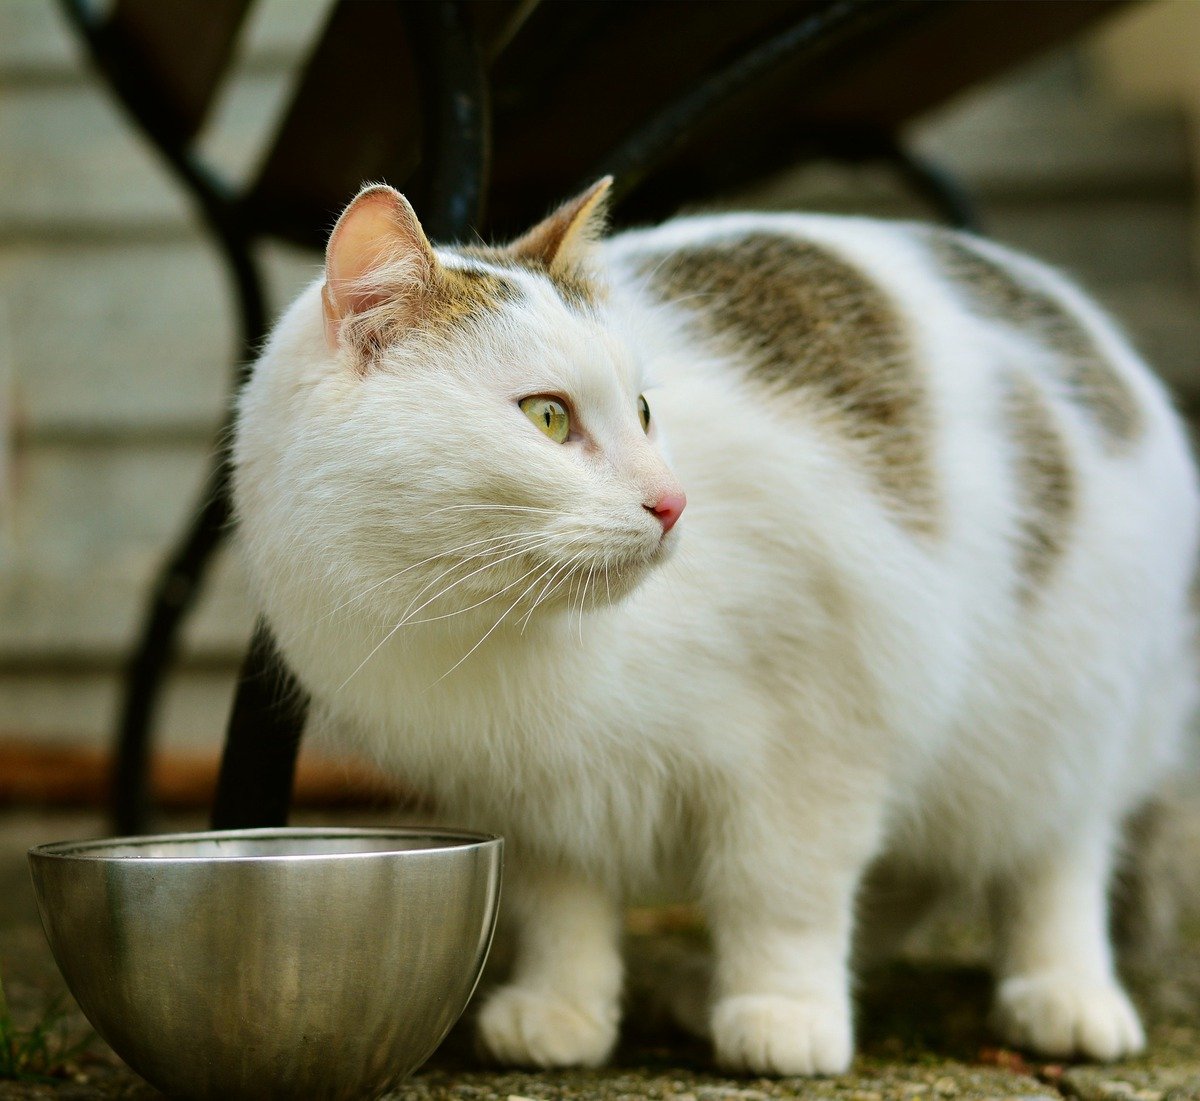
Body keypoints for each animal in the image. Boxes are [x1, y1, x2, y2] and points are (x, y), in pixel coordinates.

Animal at [229, 176, 1195, 1074]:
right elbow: (563, 908)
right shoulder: (534, 794)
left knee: (1056, 854)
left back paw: (1065, 995)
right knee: (914, 871)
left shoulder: (819, 733)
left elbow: (783, 890)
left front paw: (784, 1012)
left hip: (1064, 714)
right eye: (548, 416)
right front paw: (562, 1012)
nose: (672, 501)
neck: (504, 627)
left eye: (645, 411)